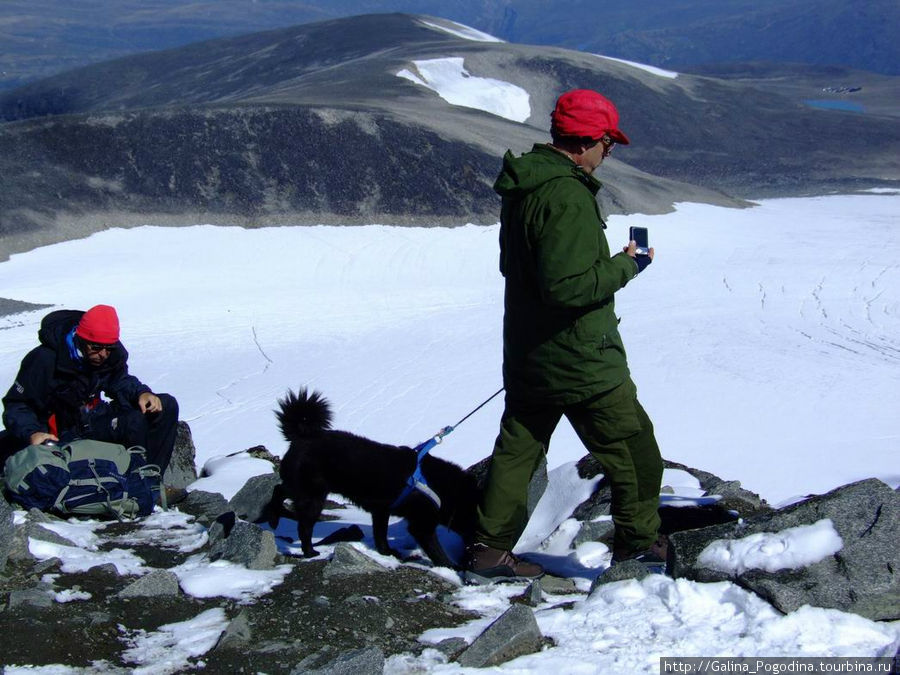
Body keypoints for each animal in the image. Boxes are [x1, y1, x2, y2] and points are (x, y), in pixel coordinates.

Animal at [264, 388, 482, 568]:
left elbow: (380, 535)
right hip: (313, 497)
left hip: (305, 489)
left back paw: (274, 518)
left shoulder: (381, 511)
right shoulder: (421, 524)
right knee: (304, 526)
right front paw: (451, 567)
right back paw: (309, 551)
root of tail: (301, 436)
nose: (475, 547)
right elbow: (436, 550)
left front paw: (387, 552)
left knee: (279, 489)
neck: (447, 489)